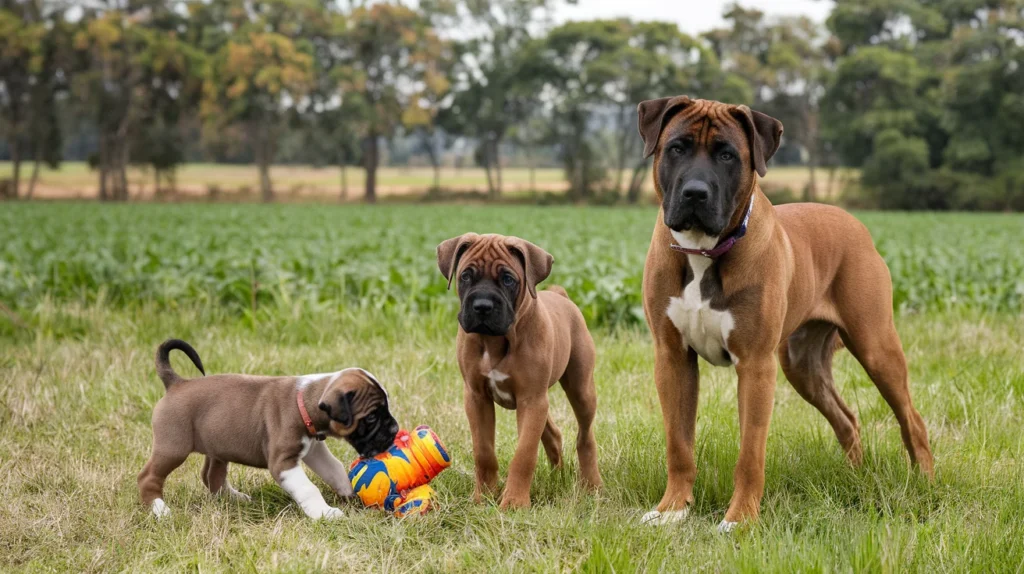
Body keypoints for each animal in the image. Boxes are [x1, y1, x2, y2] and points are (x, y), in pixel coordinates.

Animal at [133, 339, 395, 519]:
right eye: (371, 417)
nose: (394, 430)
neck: (304, 400)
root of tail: (176, 383)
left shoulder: (314, 451)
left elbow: (335, 470)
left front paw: (350, 495)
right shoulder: (284, 464)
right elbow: (308, 489)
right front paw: (324, 513)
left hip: (217, 446)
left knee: (211, 476)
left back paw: (234, 499)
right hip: (173, 448)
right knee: (149, 477)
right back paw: (159, 510)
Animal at [438, 230, 598, 507]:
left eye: (508, 279)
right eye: (466, 276)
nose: (482, 306)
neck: (495, 341)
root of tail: (560, 295)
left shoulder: (531, 400)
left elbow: (524, 454)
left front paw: (514, 502)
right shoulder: (477, 398)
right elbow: (483, 451)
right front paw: (484, 496)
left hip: (580, 390)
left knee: (585, 436)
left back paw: (592, 486)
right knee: (553, 433)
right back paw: (558, 476)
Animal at [634, 96, 933, 532]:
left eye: (727, 155)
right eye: (676, 148)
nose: (695, 192)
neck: (704, 251)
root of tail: (855, 224)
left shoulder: (756, 366)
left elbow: (750, 453)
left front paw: (740, 519)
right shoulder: (673, 359)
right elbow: (679, 444)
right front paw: (672, 509)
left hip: (876, 348)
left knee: (912, 418)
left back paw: (925, 482)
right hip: (802, 365)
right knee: (847, 420)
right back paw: (854, 476)